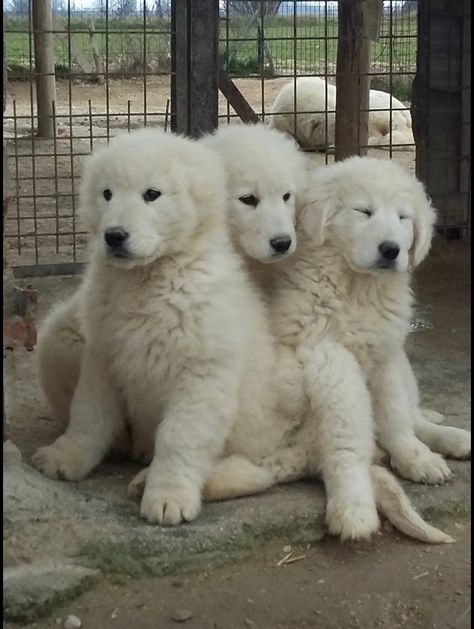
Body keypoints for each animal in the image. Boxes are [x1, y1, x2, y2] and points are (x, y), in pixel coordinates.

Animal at [282, 156, 470, 480]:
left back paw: (454, 438)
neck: (358, 289)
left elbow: (394, 413)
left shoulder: (385, 354)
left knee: (413, 416)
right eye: (363, 211)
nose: (391, 249)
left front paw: (415, 457)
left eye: (403, 217)